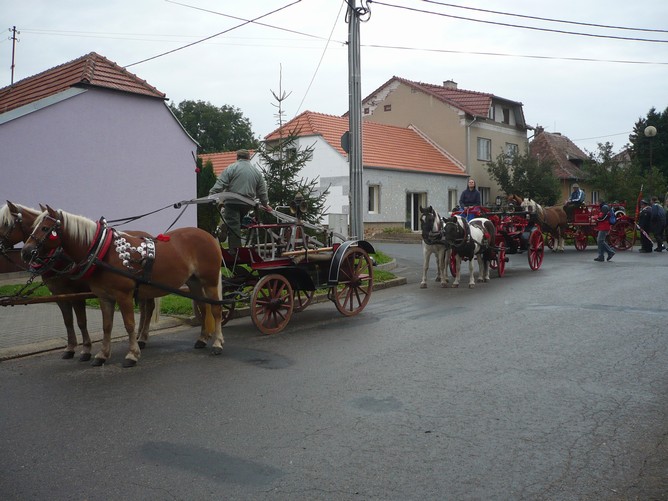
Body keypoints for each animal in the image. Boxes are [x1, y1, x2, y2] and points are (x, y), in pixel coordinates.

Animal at [0, 201, 158, 362]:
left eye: (6, 224)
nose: (25, 253)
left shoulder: (76, 294)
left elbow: (81, 322)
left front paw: (86, 349)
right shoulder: (59, 295)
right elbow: (68, 321)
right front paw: (70, 348)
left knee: (149, 308)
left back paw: (142, 338)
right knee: (144, 308)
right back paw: (139, 335)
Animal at [21, 204, 224, 368]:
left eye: (45, 228)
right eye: (34, 227)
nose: (25, 252)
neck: (103, 252)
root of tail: (208, 235)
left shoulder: (123, 295)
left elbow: (129, 324)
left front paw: (132, 355)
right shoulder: (104, 297)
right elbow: (107, 326)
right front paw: (102, 355)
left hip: (210, 281)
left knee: (215, 310)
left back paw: (217, 343)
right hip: (194, 282)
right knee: (203, 307)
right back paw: (202, 339)